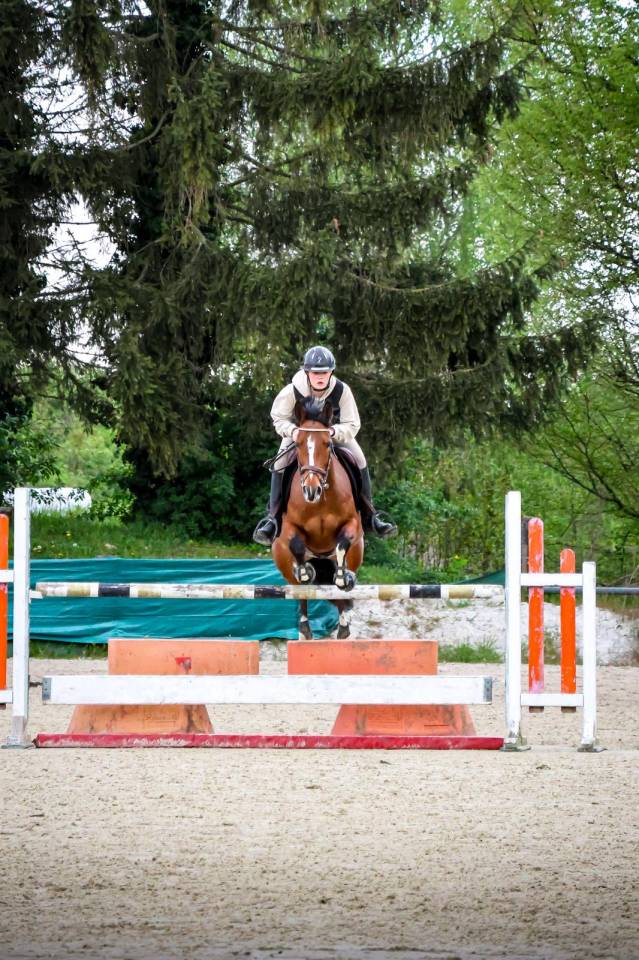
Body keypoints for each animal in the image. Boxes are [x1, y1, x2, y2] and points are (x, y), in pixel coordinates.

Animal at [272, 397, 364, 639]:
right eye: (299, 444)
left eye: (327, 444)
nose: (311, 490)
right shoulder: (288, 527)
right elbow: (296, 544)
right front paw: (304, 571)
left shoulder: (352, 524)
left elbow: (342, 544)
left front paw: (342, 577)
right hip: (282, 560)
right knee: (300, 591)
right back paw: (305, 625)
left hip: (357, 551)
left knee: (341, 593)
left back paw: (344, 619)